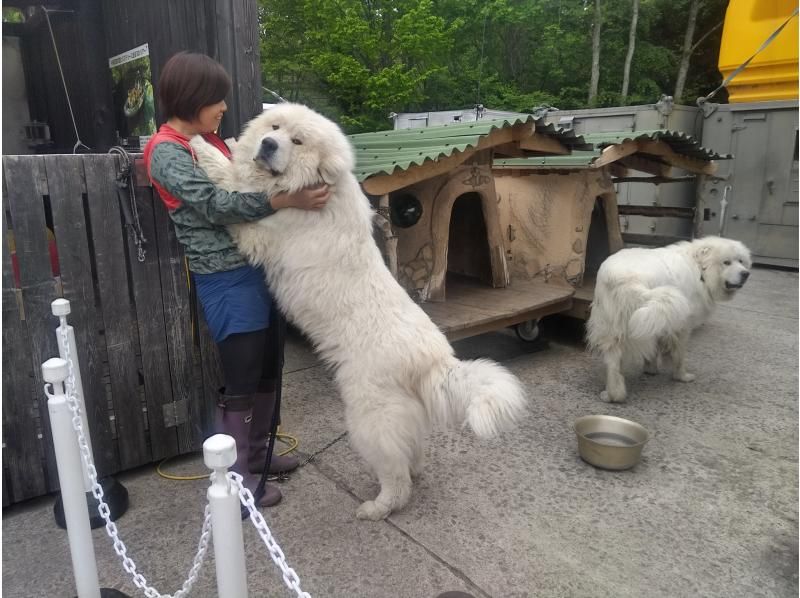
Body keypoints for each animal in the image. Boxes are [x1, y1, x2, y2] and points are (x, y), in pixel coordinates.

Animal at [187, 105, 524, 524]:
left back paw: (377, 508)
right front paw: (230, 143)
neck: (313, 187)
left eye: (297, 141)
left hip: (369, 418)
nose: (267, 144)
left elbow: (229, 184)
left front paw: (199, 143)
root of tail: (437, 360)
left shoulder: (256, 229)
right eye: (274, 127)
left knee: (396, 476)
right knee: (411, 453)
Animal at [588, 237, 752, 406]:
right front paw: (681, 376)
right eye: (726, 262)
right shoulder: (682, 327)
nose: (746, 274)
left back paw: (613, 395)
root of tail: (626, 279)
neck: (699, 268)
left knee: (613, 364)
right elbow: (679, 355)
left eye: (741, 261)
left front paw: (651, 369)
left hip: (613, 327)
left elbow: (654, 351)